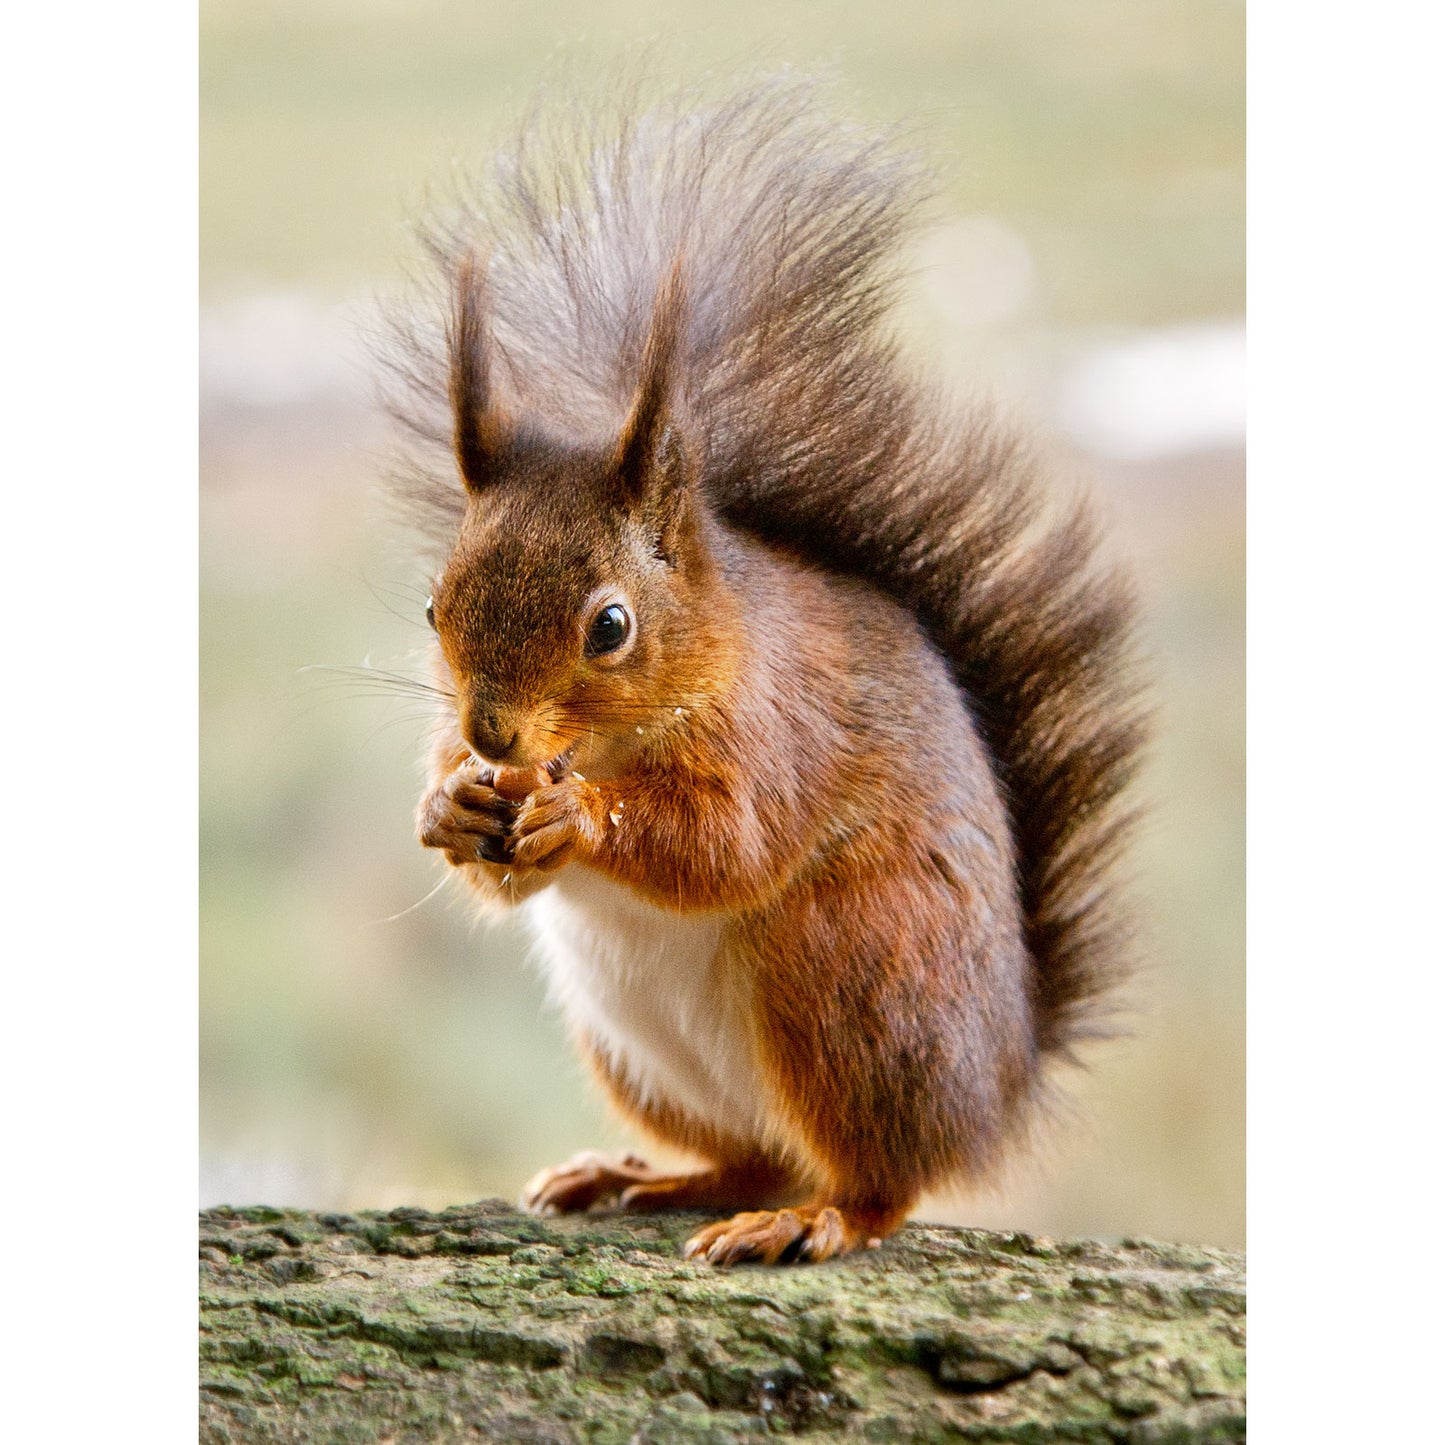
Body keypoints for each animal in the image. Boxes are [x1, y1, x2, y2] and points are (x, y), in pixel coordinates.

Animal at [384, 77, 1147, 1266]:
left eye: (610, 625)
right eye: (434, 605)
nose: (490, 734)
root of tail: (999, 1085)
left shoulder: (774, 730)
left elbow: (723, 843)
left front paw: (580, 817)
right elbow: (494, 875)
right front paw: (450, 803)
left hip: (847, 977)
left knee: (879, 1181)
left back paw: (807, 1217)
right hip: (638, 1049)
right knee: (752, 1151)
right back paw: (641, 1176)